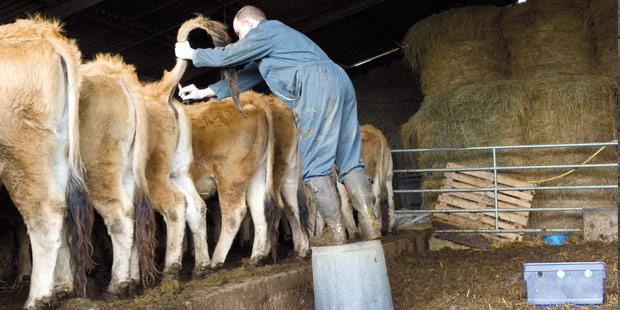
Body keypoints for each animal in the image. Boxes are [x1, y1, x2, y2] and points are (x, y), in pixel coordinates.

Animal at [0, 17, 93, 308]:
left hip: (22, 150)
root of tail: (44, 31)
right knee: (60, 207)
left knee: (44, 210)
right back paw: (61, 287)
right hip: (56, 151)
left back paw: (37, 297)